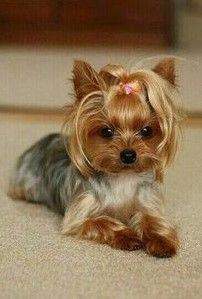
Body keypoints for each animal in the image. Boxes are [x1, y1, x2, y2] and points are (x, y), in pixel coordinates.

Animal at [9, 58, 183, 258]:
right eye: (106, 131)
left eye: (147, 131)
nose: (128, 155)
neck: (122, 177)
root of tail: (45, 139)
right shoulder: (80, 216)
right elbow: (102, 221)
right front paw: (127, 236)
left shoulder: (148, 204)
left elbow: (152, 220)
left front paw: (161, 241)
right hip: (25, 185)